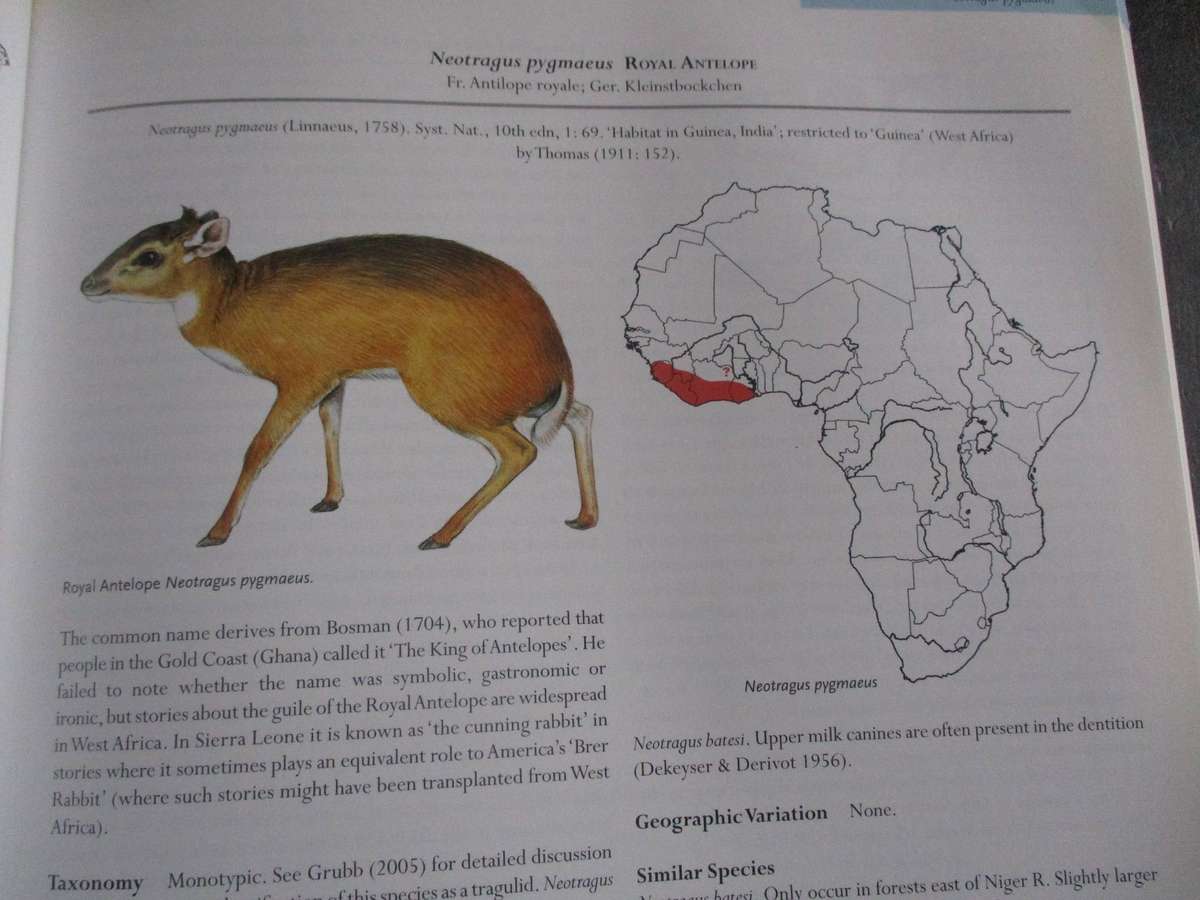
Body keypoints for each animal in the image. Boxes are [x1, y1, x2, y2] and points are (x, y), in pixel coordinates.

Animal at [80, 207, 598, 550]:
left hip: (449, 393)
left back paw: (439, 534)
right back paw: (585, 517)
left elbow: (258, 448)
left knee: (520, 450)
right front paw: (329, 499)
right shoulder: (334, 376)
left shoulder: (301, 376)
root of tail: (558, 359)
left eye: (149, 256)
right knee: (580, 413)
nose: (87, 283)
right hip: (514, 398)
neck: (232, 309)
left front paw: (216, 532)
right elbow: (331, 427)